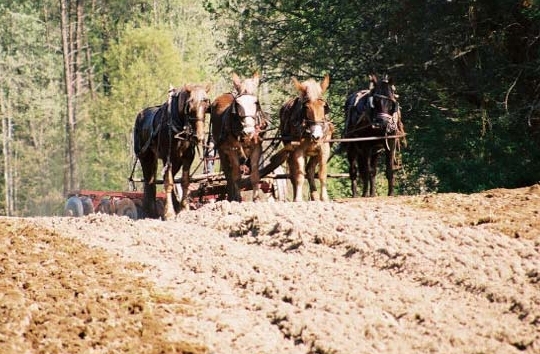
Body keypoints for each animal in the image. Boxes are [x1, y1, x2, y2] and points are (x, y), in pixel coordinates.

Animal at [133, 84, 211, 220]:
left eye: (206, 106)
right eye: (189, 106)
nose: (198, 136)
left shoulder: (188, 156)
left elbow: (185, 181)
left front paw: (184, 209)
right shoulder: (166, 157)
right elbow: (168, 183)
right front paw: (169, 213)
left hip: (175, 160)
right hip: (145, 156)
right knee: (149, 182)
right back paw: (150, 212)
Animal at [209, 72, 268, 202]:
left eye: (256, 103)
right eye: (238, 104)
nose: (249, 131)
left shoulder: (257, 147)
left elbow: (255, 174)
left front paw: (256, 198)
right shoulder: (232, 149)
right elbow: (235, 175)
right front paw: (237, 198)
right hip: (222, 150)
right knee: (228, 174)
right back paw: (231, 195)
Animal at [280, 74, 336, 202]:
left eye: (324, 107)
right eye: (306, 107)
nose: (317, 135)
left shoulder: (324, 150)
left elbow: (322, 174)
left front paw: (324, 197)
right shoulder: (298, 151)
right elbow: (299, 175)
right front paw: (298, 198)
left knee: (310, 170)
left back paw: (314, 195)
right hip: (290, 150)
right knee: (293, 173)